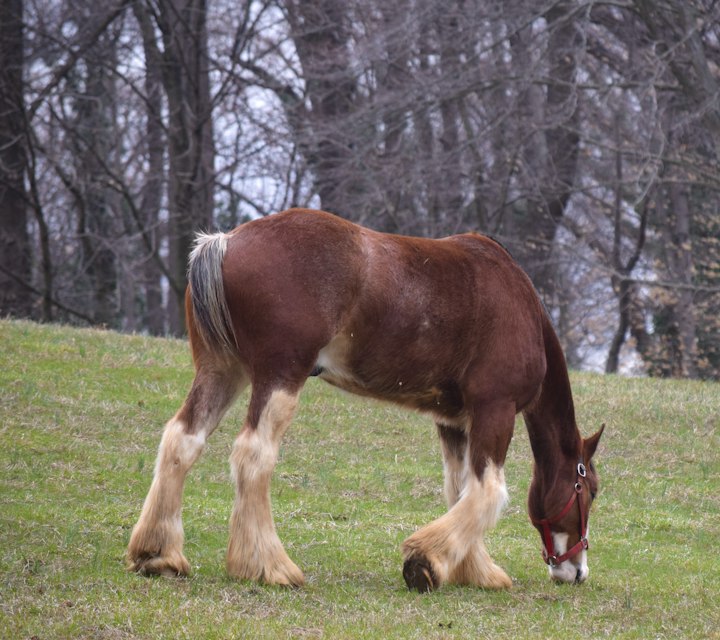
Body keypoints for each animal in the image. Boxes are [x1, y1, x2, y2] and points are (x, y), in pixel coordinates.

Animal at [126, 209, 604, 592]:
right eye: (589, 489)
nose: (576, 571)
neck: (518, 304)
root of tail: (225, 242)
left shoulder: (454, 420)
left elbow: (461, 490)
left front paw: (472, 569)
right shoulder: (495, 409)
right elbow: (488, 493)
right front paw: (426, 561)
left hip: (223, 372)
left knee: (183, 440)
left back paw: (158, 554)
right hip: (279, 376)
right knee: (253, 455)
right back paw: (270, 566)